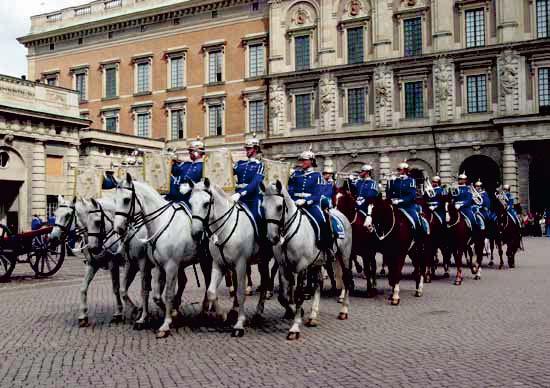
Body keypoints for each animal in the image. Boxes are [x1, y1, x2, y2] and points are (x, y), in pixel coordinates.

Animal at [113, 174, 210, 338]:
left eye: (126, 200)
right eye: (114, 200)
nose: (118, 228)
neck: (161, 223)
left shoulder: (164, 266)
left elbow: (165, 293)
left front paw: (165, 323)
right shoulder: (153, 266)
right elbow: (153, 295)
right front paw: (152, 315)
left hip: (204, 261)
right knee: (184, 281)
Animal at [189, 178, 270, 336]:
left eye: (206, 203)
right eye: (190, 202)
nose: (195, 233)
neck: (224, 228)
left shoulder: (241, 264)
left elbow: (240, 292)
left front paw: (239, 324)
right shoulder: (218, 264)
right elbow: (211, 291)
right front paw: (223, 315)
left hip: (265, 260)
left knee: (266, 282)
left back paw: (259, 311)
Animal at [262, 180, 354, 342]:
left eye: (279, 207)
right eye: (263, 207)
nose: (272, 238)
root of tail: (339, 214)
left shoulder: (301, 267)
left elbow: (298, 294)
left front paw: (294, 327)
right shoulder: (283, 267)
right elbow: (283, 296)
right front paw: (293, 311)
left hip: (344, 257)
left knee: (346, 279)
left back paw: (343, 310)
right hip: (318, 262)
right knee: (318, 283)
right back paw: (313, 316)